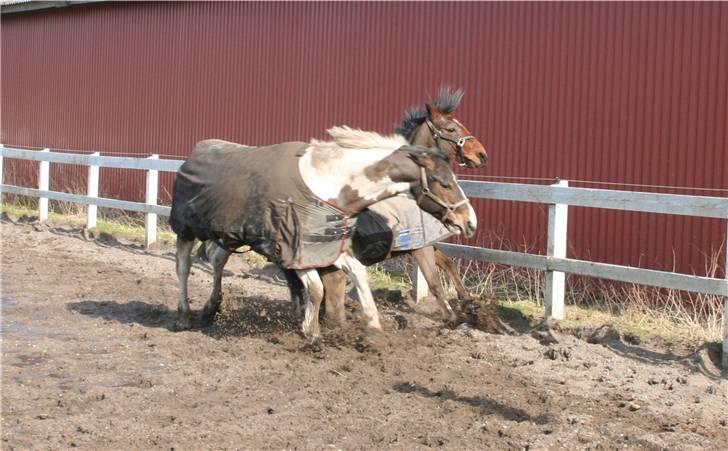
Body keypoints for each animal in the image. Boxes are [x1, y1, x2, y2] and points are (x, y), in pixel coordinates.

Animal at [168, 129, 474, 338]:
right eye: (443, 182)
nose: (470, 222)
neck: (328, 187)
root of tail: (192, 155)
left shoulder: (328, 248)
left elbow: (355, 275)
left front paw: (372, 328)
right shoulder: (295, 250)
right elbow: (316, 289)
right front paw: (311, 330)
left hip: (232, 235)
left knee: (217, 260)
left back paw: (212, 308)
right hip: (186, 231)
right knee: (183, 267)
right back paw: (183, 316)